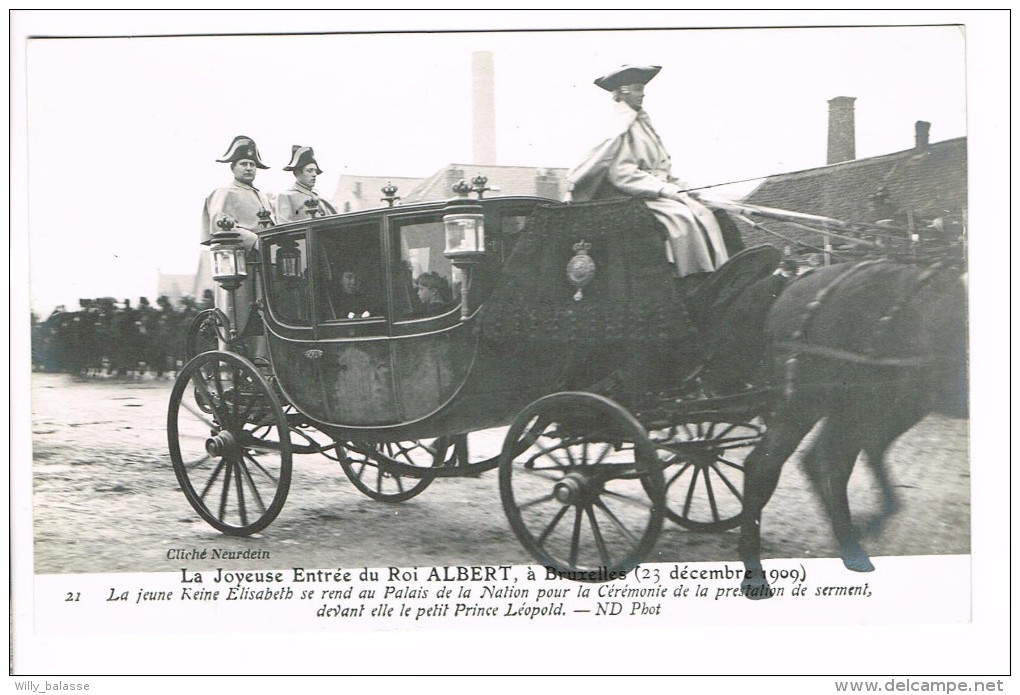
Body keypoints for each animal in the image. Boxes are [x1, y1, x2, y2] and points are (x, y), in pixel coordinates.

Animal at [734, 259, 962, 596]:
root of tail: (792, 284)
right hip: (817, 401)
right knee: (773, 464)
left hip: (880, 401)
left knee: (828, 459)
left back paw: (853, 540)